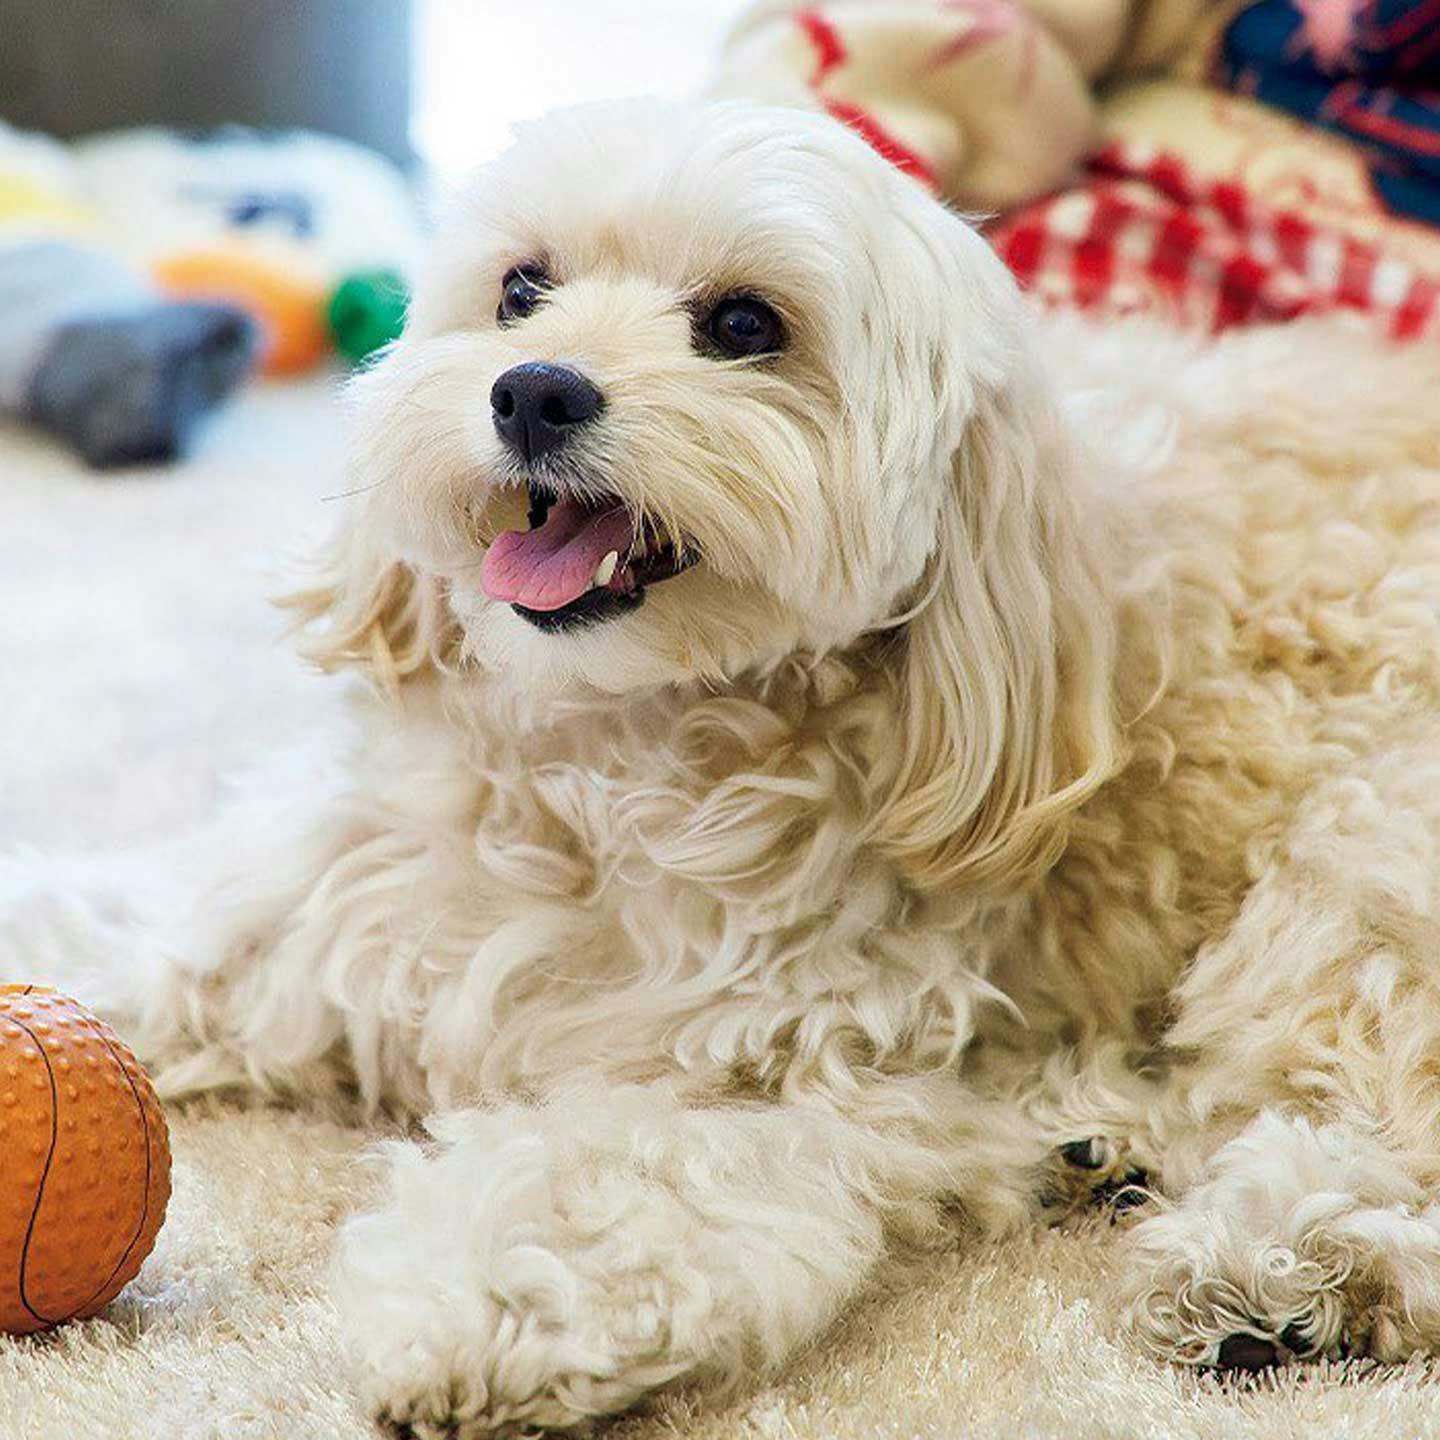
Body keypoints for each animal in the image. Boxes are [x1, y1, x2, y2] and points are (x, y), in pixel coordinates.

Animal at [8, 98, 1440, 1428]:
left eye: (746, 325)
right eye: (521, 288)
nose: (533, 390)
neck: (601, 762)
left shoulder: (807, 1072)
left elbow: (611, 1176)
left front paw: (490, 1301)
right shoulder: (293, 923)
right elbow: (111, 932)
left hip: (1362, 856)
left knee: (1371, 1110)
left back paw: (1289, 1260)